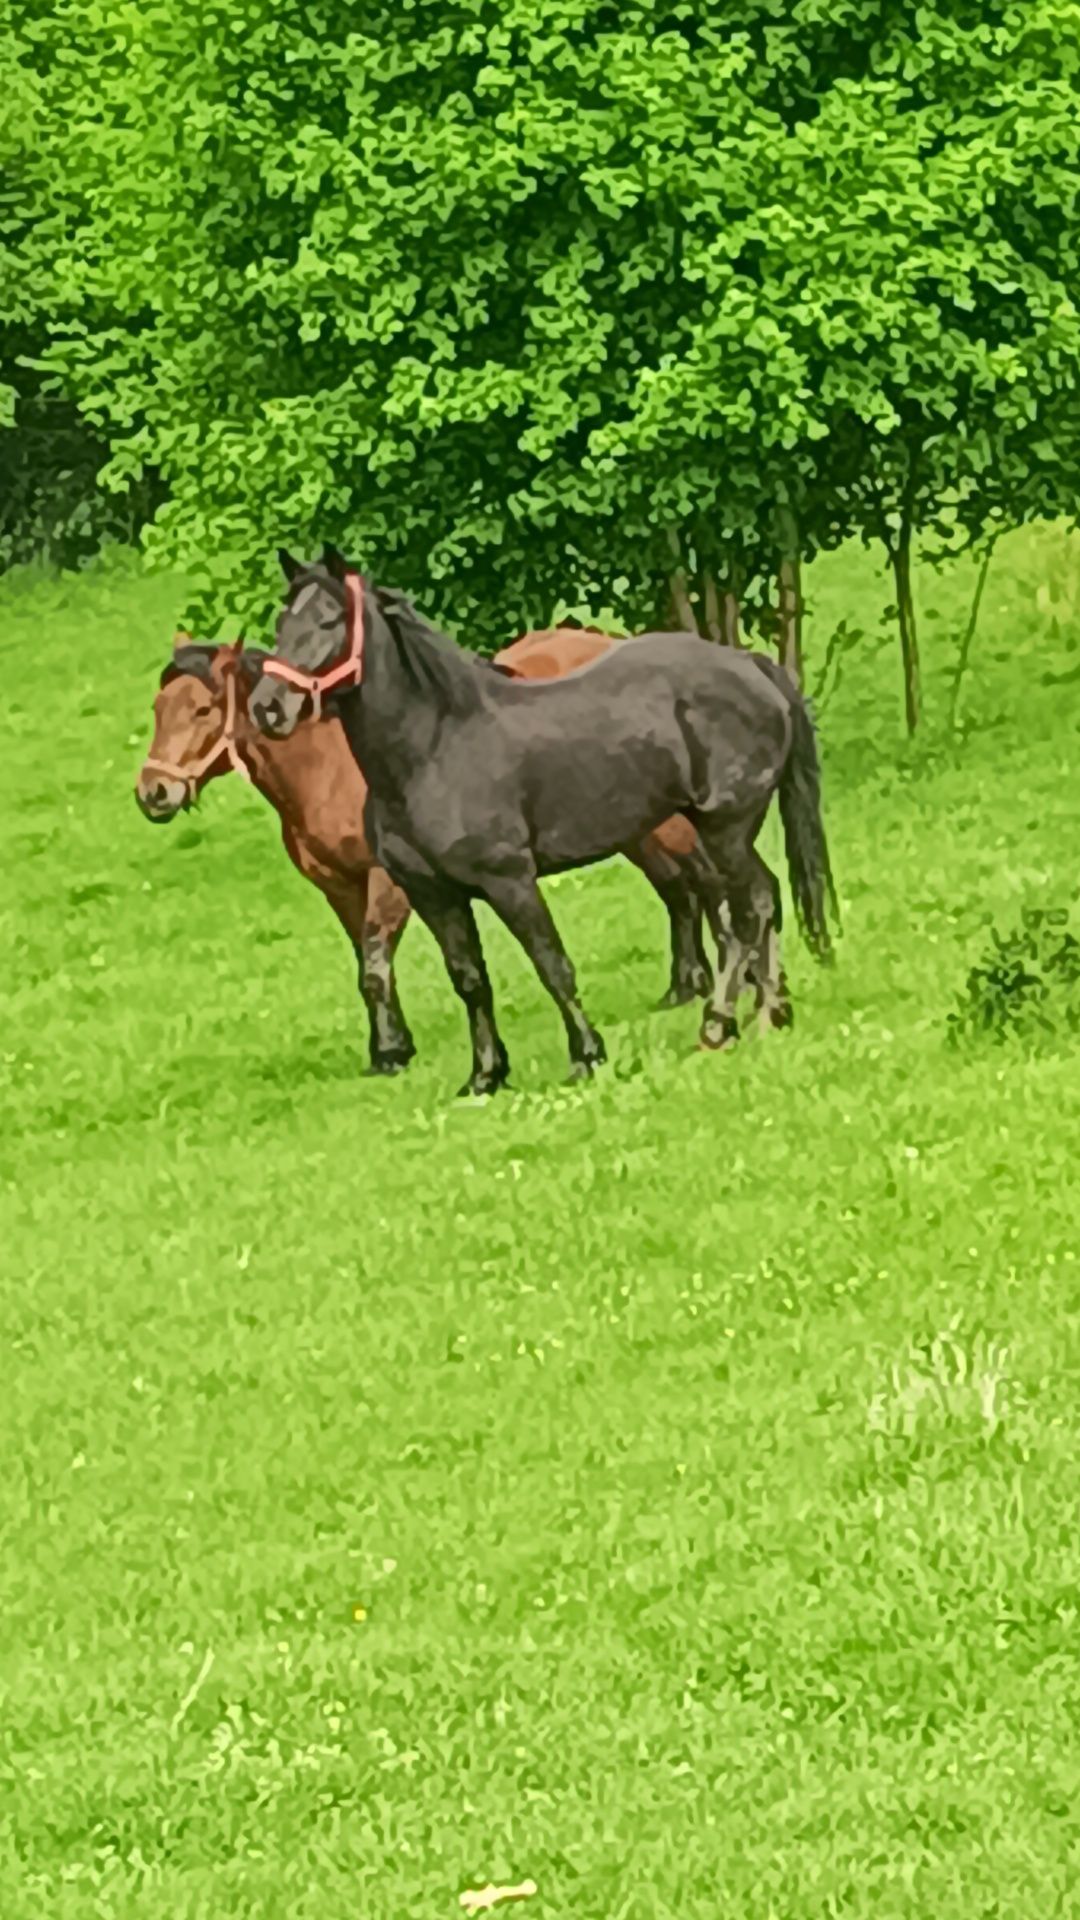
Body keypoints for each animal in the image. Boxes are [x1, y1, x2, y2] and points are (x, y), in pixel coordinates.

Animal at [136, 633, 714, 1075]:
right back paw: (685, 986)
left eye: (203, 708)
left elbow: (375, 964)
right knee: (678, 891)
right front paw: (388, 1047)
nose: (153, 793)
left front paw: (392, 1051)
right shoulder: (339, 886)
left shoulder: (389, 881)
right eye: (158, 709)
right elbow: (366, 966)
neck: (329, 765)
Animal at [247, 552, 837, 1098]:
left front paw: (587, 1055)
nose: (268, 707)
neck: (435, 748)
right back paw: (769, 1012)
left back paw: (724, 1023)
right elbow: (470, 980)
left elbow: (551, 963)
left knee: (749, 908)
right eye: (282, 624)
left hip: (725, 828)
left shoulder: (509, 881)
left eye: (330, 621)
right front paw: (485, 1075)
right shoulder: (434, 895)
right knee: (762, 901)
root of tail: (751, 665)